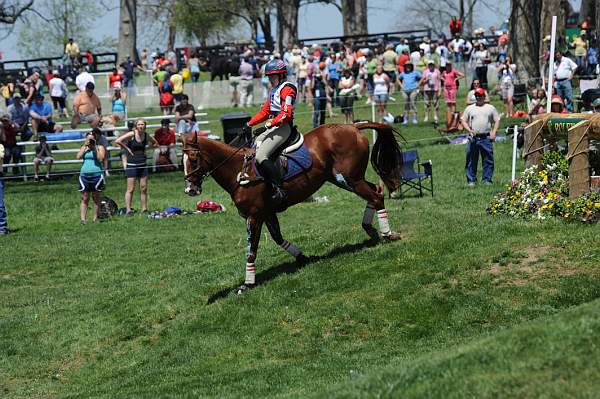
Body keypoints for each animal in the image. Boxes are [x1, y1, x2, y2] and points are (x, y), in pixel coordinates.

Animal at [183, 122, 406, 294]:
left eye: (193, 159)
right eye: (183, 160)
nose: (190, 190)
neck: (238, 170)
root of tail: (352, 126)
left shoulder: (253, 216)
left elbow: (251, 251)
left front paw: (247, 284)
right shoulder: (267, 213)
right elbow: (278, 238)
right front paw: (303, 257)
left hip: (351, 179)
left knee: (376, 196)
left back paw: (388, 233)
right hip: (343, 179)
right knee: (376, 190)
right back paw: (370, 229)